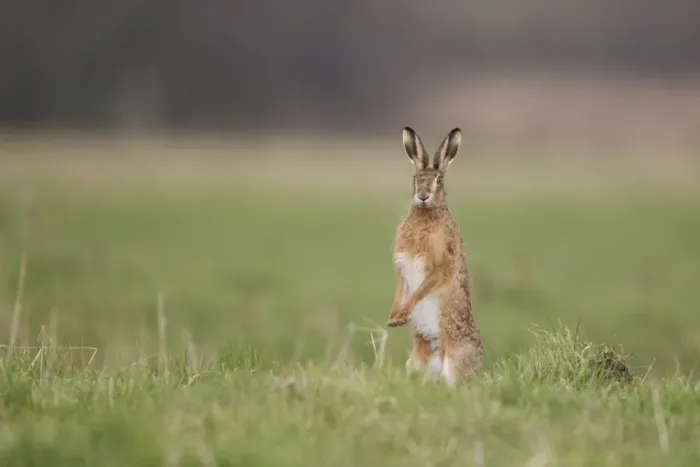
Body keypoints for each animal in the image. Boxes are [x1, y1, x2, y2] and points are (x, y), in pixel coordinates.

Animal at [386, 127, 483, 386]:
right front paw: (393, 318)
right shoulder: (403, 268)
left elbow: (420, 290)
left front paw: (402, 316)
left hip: (455, 360)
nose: (422, 196)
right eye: (415, 179)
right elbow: (401, 290)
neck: (426, 213)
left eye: (439, 181)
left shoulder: (439, 267)